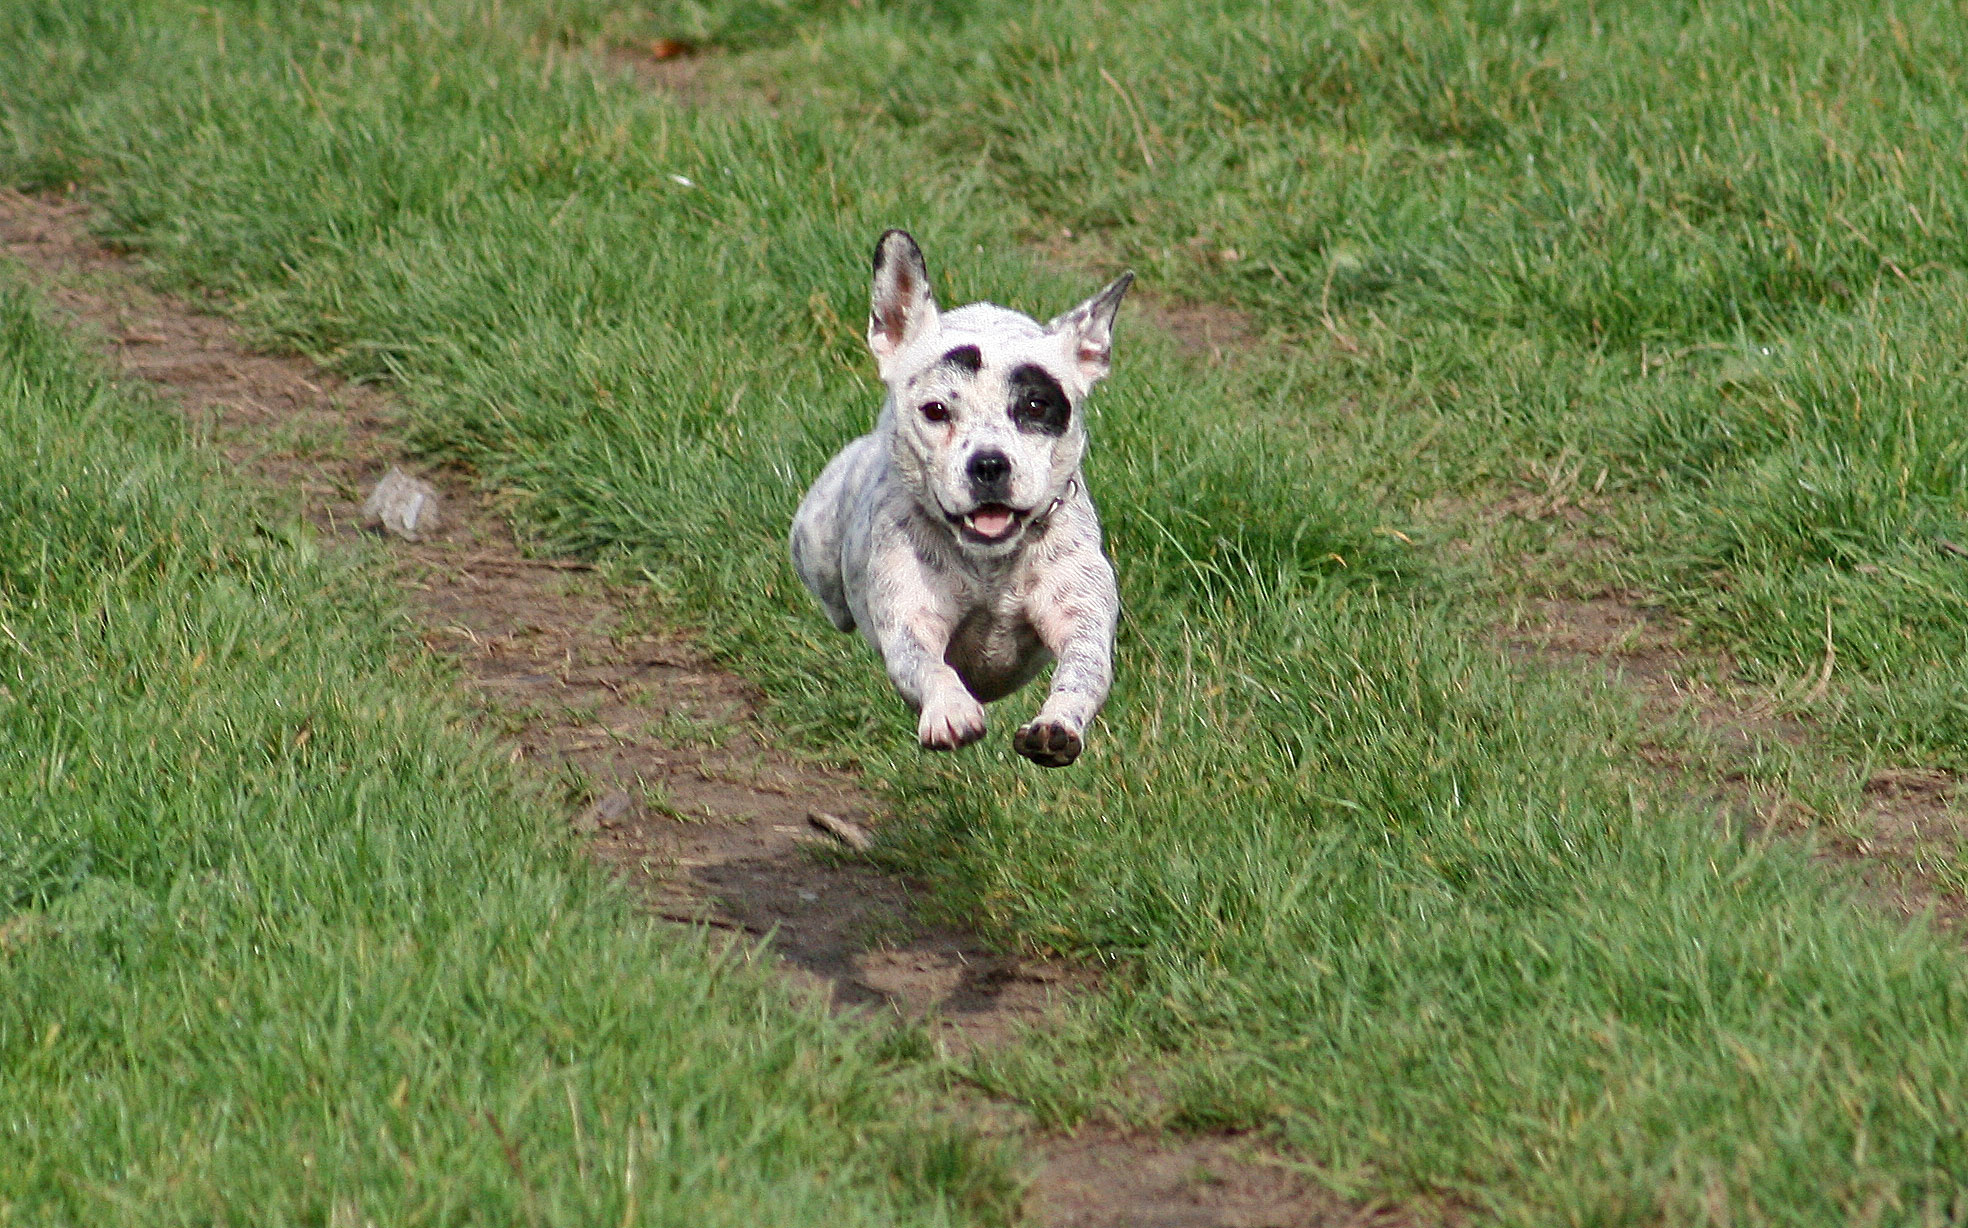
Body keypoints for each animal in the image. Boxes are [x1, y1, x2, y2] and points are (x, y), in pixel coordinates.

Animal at [779, 231, 1125, 767]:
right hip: (815, 545)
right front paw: (949, 709)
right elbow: (926, 663)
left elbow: (1082, 671)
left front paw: (1055, 724)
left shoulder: (1081, 617)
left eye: (1035, 405)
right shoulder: (909, 621)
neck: (990, 564)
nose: (988, 463)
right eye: (936, 410)